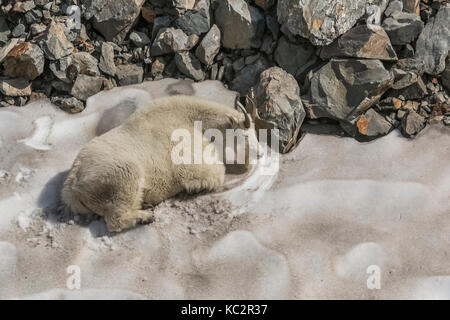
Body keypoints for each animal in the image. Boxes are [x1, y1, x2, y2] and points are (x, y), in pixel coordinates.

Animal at [61, 95, 258, 232]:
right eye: (244, 135)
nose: (260, 153)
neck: (193, 121)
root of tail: (72, 189)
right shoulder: (190, 163)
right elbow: (216, 174)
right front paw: (195, 189)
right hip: (123, 177)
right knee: (115, 220)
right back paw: (145, 217)